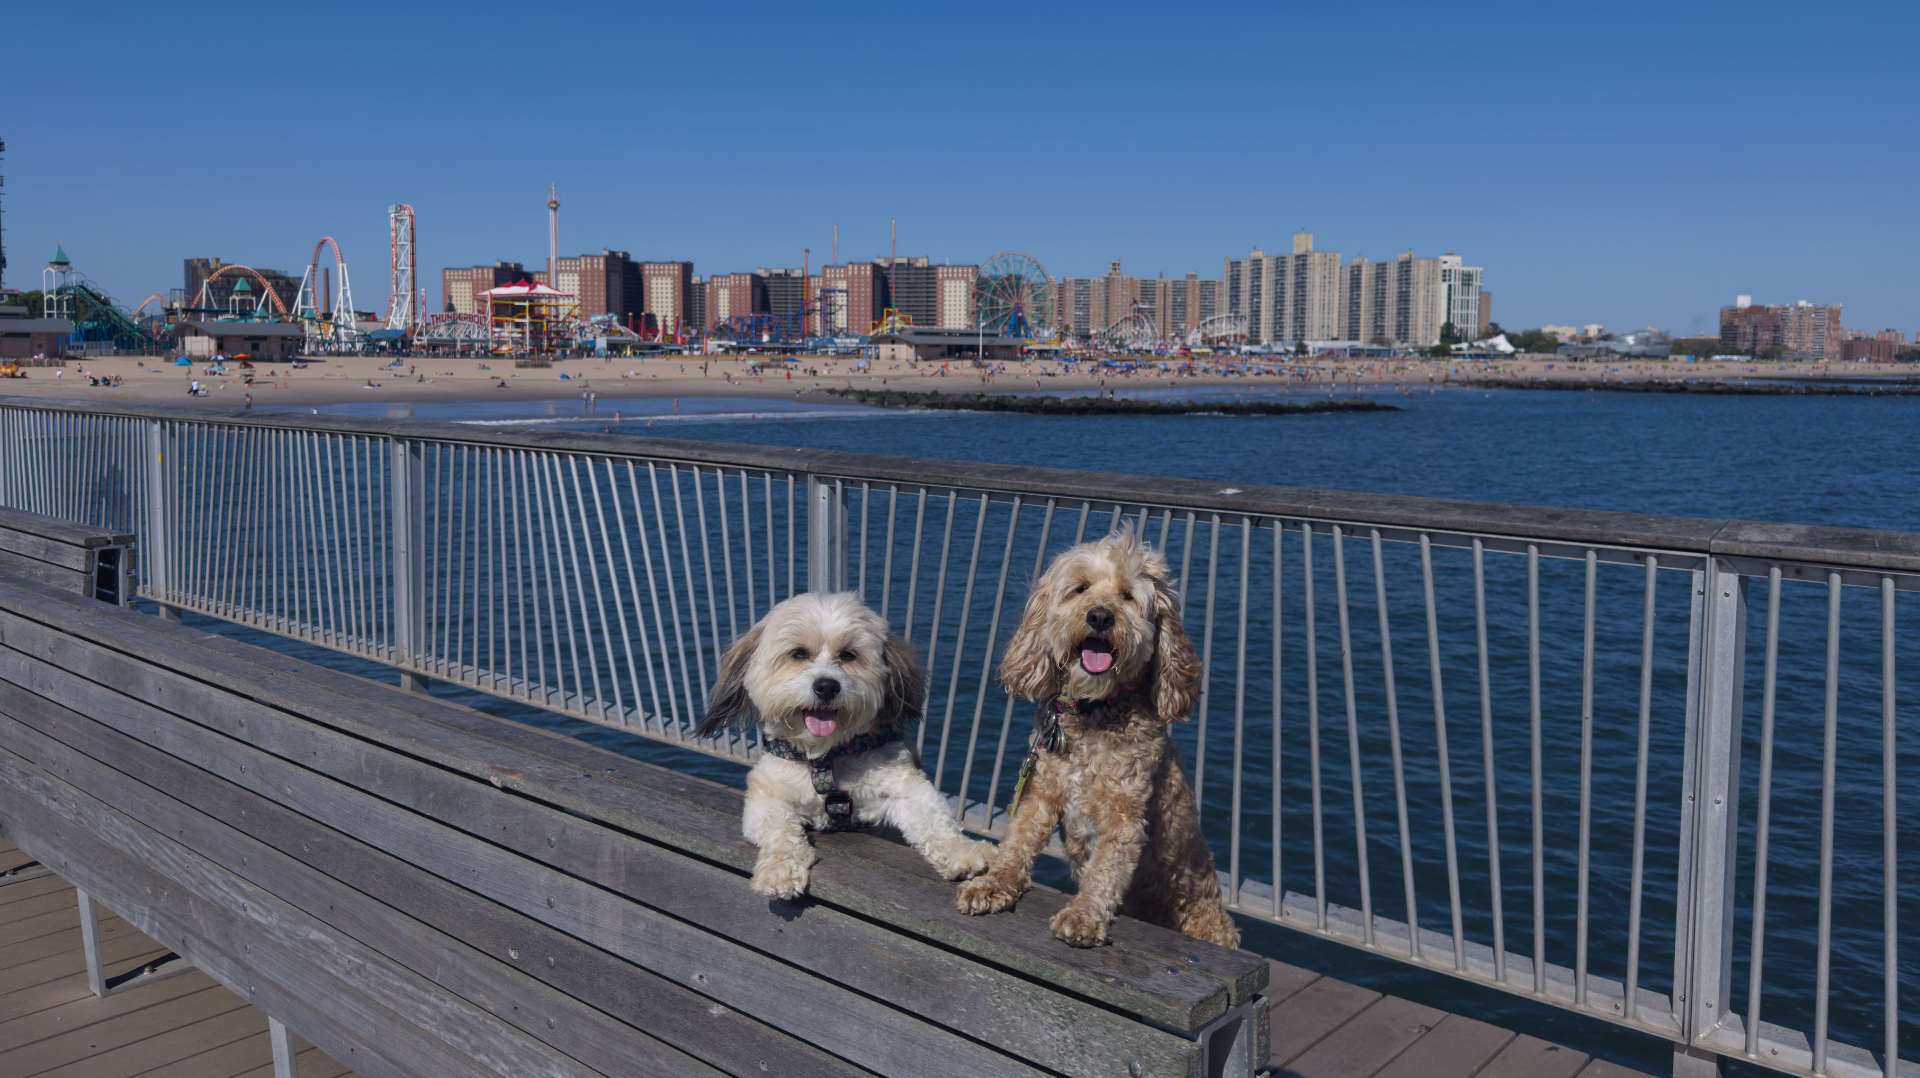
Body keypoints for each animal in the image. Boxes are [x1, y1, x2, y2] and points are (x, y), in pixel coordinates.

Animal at [698, 591, 990, 895]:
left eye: (849, 655)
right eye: (798, 653)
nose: (827, 686)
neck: (825, 756)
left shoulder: (903, 783)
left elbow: (933, 819)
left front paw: (962, 852)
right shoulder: (766, 795)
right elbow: (779, 832)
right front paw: (779, 870)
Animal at [960, 526, 1244, 945]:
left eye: (1127, 595)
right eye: (1080, 589)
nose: (1099, 615)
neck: (1093, 711)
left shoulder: (1123, 816)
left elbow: (1105, 871)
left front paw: (1083, 914)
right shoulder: (1040, 792)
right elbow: (1017, 840)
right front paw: (993, 883)